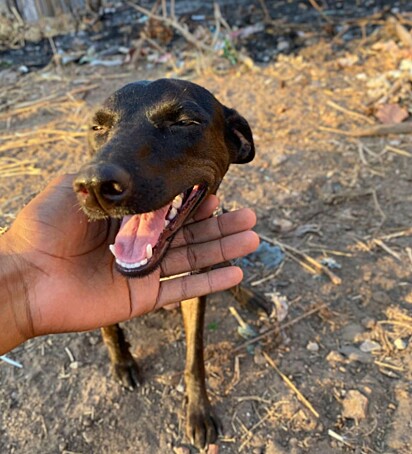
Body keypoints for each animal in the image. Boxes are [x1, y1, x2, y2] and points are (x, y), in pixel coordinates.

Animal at [73, 79, 256, 450]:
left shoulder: (195, 291)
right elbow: (109, 327)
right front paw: (123, 361)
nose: (95, 186)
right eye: (97, 128)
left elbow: (194, 357)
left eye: (184, 122)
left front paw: (198, 411)